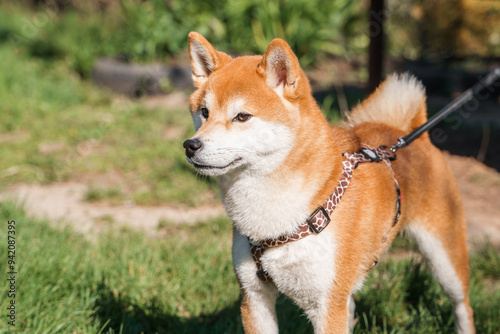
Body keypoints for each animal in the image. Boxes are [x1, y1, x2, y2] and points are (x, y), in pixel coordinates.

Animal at [183, 32, 472, 334]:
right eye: (204, 112)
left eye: (242, 116)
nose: (191, 145)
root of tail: (406, 134)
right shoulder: (254, 297)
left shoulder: (327, 304)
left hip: (444, 261)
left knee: (462, 305)